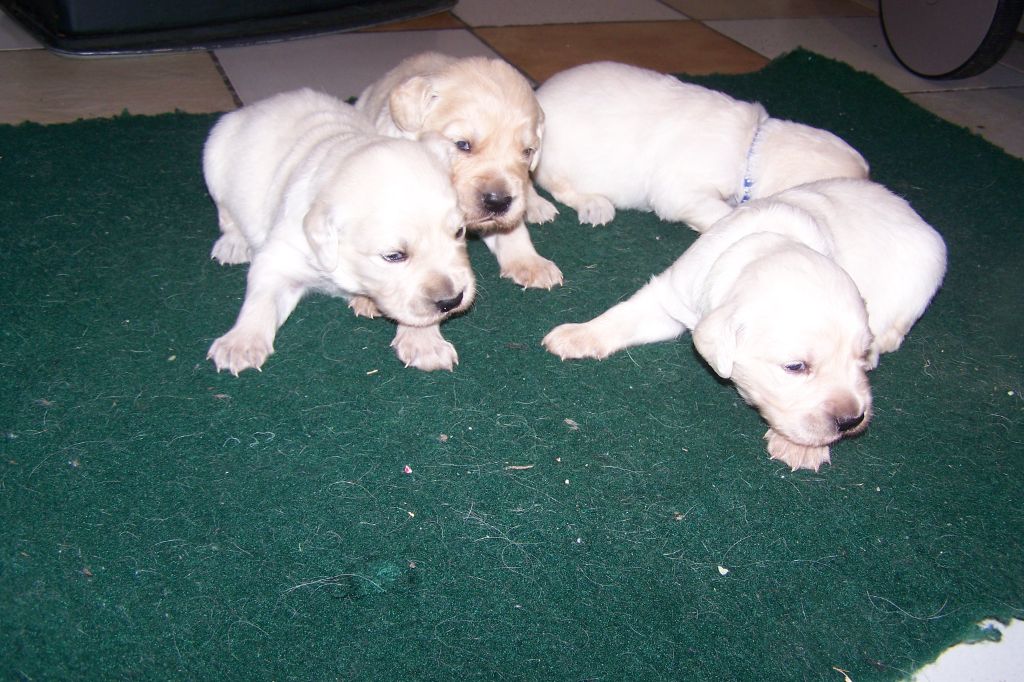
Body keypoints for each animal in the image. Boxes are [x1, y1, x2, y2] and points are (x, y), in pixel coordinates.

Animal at [202, 88, 475, 374]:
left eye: (459, 232)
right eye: (394, 256)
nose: (452, 300)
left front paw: (424, 342)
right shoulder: (282, 253)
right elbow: (261, 296)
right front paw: (240, 343)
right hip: (215, 155)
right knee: (226, 214)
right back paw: (233, 244)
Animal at [532, 61, 868, 231]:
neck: (751, 148)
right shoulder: (679, 189)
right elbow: (720, 212)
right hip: (558, 163)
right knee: (557, 187)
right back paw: (594, 204)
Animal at [540, 178, 946, 471]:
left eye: (857, 356)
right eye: (795, 367)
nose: (852, 420)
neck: (767, 245)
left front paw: (801, 448)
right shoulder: (673, 294)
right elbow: (625, 315)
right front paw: (577, 334)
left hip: (925, 269)